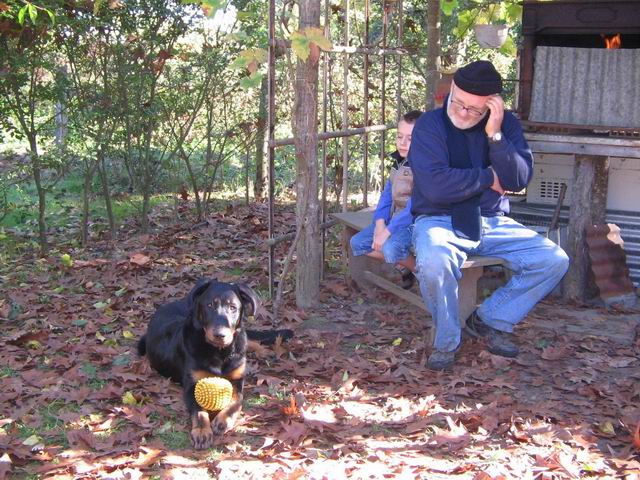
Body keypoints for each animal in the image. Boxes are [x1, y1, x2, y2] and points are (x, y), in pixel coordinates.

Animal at [139, 280, 294, 448]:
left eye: (233, 307)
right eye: (209, 305)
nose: (220, 335)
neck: (220, 352)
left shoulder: (237, 381)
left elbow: (236, 401)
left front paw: (222, 421)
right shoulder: (192, 385)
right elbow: (199, 411)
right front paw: (202, 431)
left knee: (247, 338)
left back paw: (264, 351)